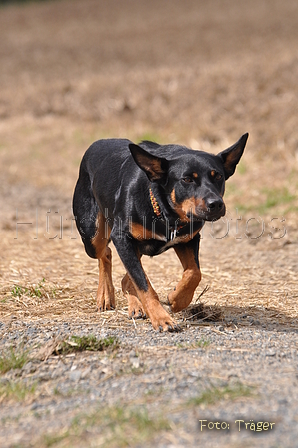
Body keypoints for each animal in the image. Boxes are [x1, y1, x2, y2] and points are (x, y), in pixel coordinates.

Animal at [73, 132, 248, 328]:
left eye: (218, 176)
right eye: (187, 179)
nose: (216, 204)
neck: (167, 214)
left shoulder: (188, 239)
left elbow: (194, 273)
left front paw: (177, 299)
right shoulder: (122, 238)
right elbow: (144, 284)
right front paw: (161, 318)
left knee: (124, 276)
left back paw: (135, 306)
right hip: (92, 234)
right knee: (105, 253)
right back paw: (105, 295)